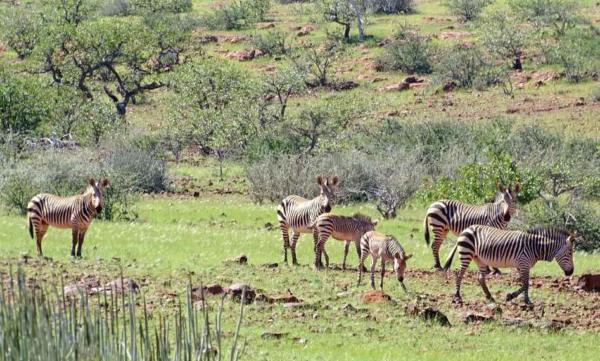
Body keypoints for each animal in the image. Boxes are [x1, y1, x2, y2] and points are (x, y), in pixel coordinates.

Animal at [446, 225, 576, 304]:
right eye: (570, 253)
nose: (571, 272)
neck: (535, 247)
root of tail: (466, 228)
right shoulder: (523, 264)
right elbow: (526, 284)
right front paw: (513, 297)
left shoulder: (522, 266)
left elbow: (525, 284)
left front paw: (525, 300)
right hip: (466, 254)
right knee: (459, 273)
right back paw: (457, 296)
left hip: (480, 259)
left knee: (480, 277)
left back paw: (490, 297)